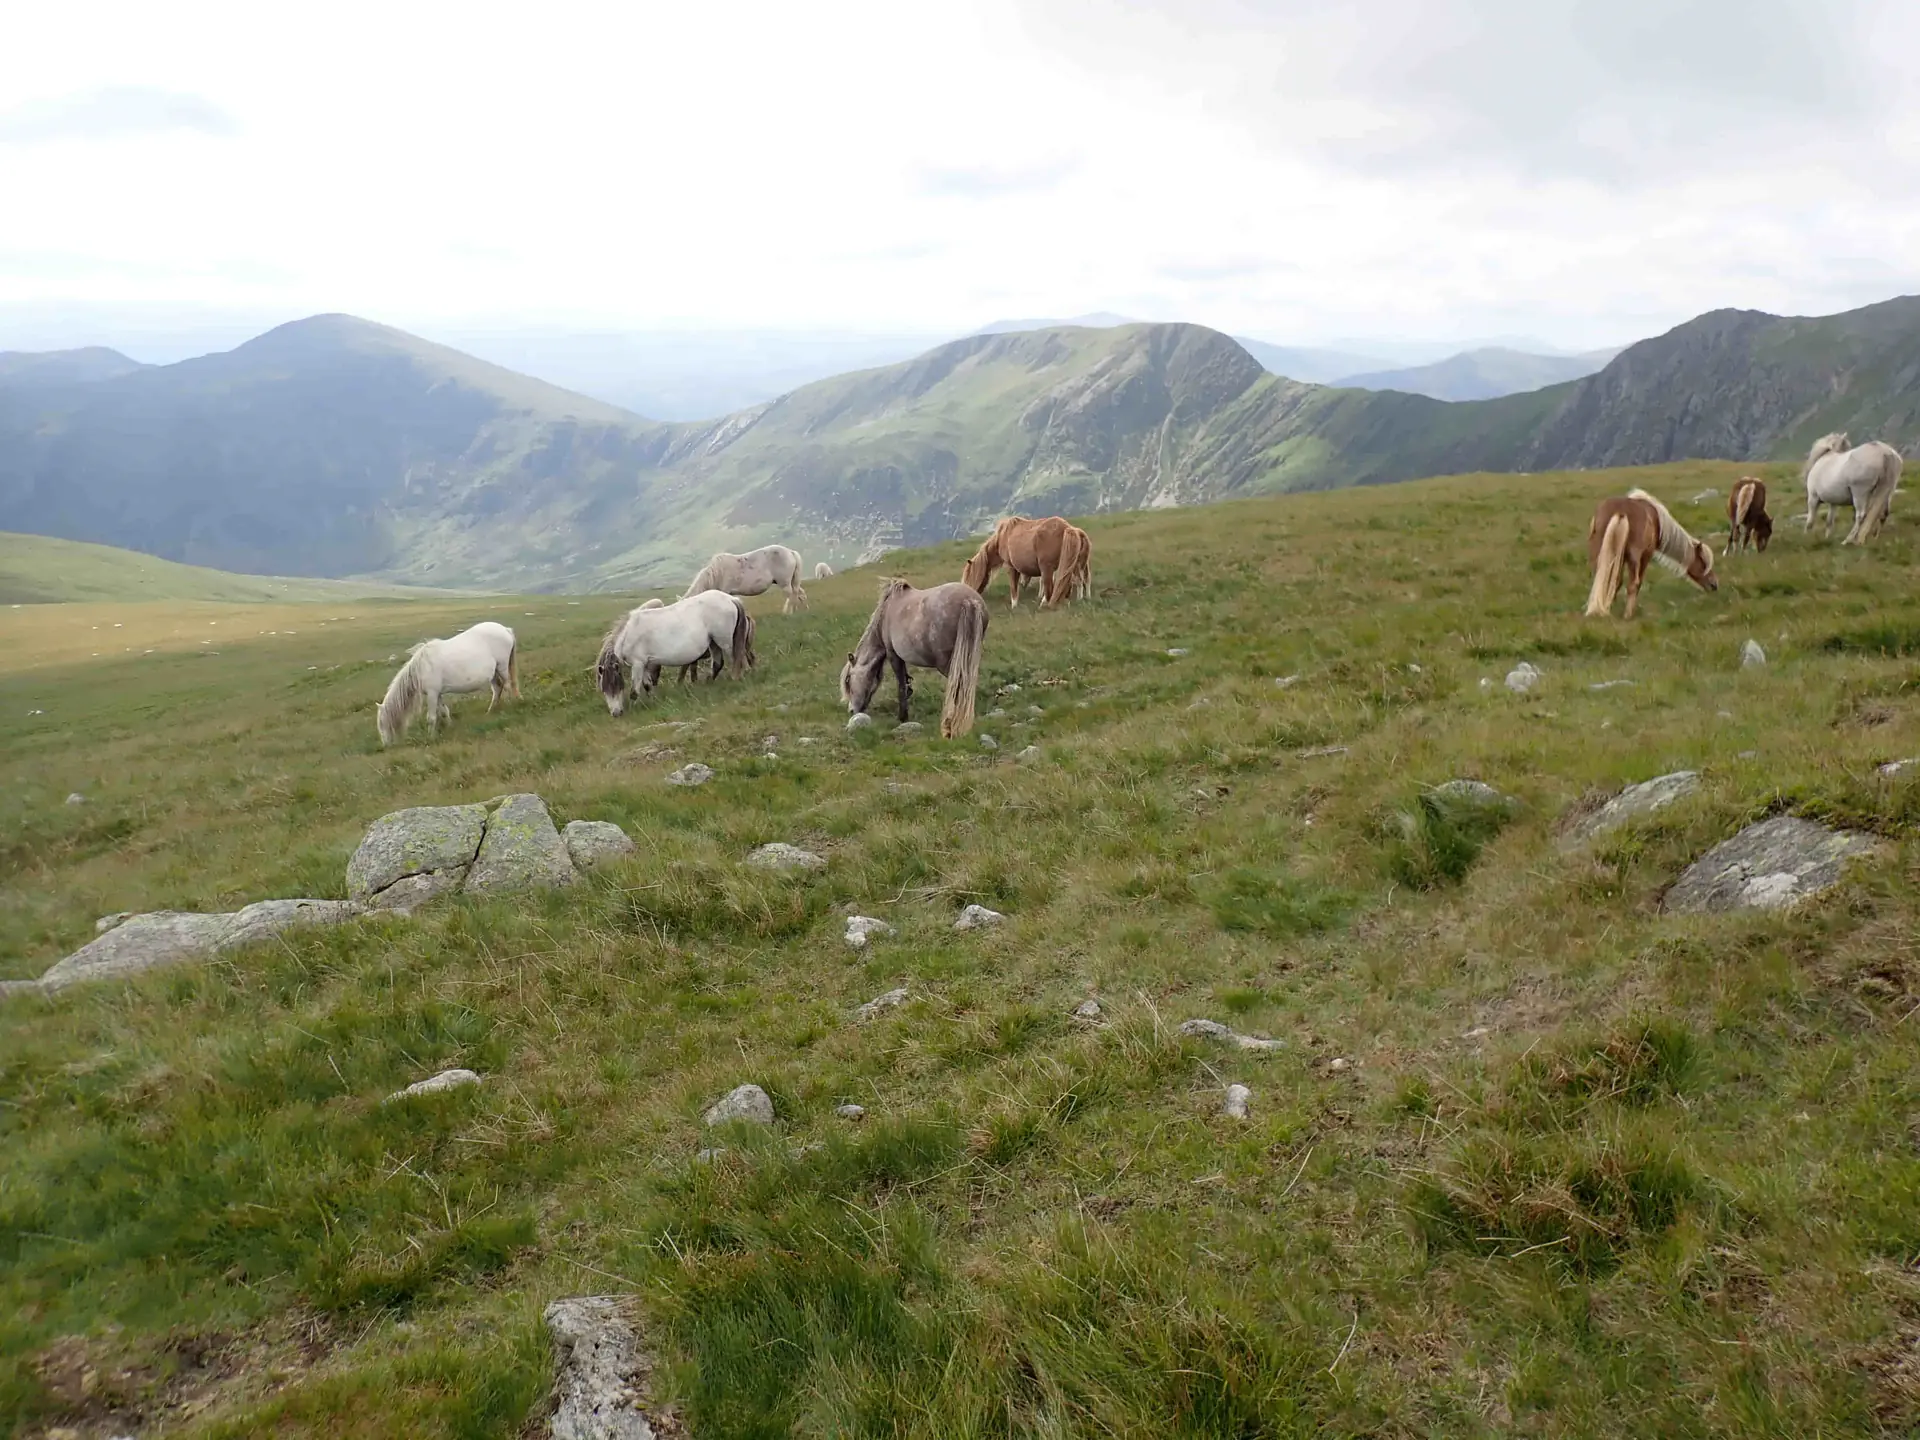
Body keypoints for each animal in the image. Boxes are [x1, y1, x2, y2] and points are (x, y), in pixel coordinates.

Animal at [376, 621, 518, 744]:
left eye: (382, 723)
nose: (385, 745)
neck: (422, 667)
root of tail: (505, 629)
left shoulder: (432, 694)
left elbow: (431, 718)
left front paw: (430, 738)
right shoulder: (437, 694)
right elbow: (444, 711)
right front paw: (450, 726)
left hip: (502, 667)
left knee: (507, 686)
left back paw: (509, 707)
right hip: (493, 673)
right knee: (497, 689)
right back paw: (490, 711)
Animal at [596, 592, 750, 715]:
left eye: (615, 685)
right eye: (604, 690)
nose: (616, 713)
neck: (629, 633)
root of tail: (731, 599)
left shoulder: (638, 664)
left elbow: (634, 691)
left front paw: (635, 708)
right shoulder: (644, 664)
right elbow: (647, 685)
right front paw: (654, 701)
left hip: (725, 641)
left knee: (737, 659)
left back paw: (735, 679)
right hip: (714, 643)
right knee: (718, 663)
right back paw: (709, 684)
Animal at [840, 580, 988, 738]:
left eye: (848, 680)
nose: (852, 711)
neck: (885, 613)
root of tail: (969, 600)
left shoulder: (893, 655)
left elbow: (901, 685)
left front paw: (902, 717)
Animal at [960, 515, 1091, 609]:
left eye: (969, 578)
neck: (1002, 536)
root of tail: (1068, 528)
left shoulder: (1011, 567)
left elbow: (1014, 587)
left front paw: (1014, 606)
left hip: (1047, 568)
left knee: (1051, 588)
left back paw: (1044, 604)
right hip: (1072, 565)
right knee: (1074, 582)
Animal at [1585, 489, 1717, 619]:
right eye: (1704, 563)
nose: (1714, 584)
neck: (1657, 520)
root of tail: (1621, 512)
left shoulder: (1620, 558)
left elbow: (1615, 580)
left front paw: (1609, 605)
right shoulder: (1646, 556)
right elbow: (1634, 583)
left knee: (1600, 578)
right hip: (1634, 558)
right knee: (1633, 583)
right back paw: (1627, 615)